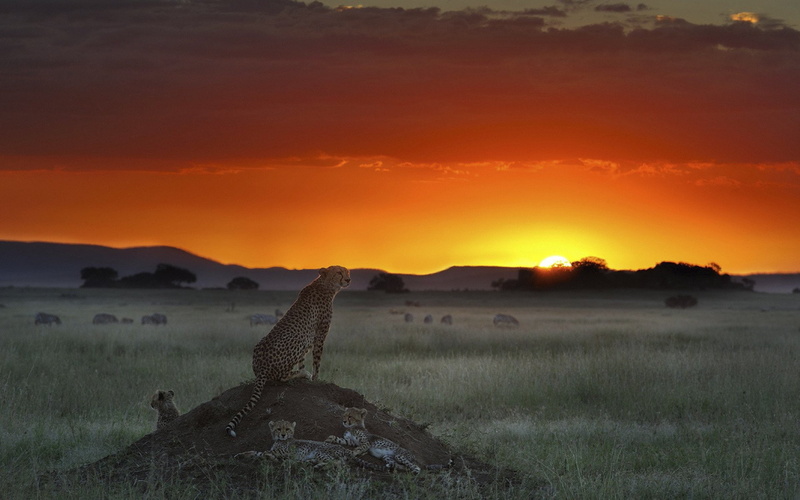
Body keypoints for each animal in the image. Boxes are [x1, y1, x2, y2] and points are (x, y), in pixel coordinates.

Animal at [225, 266, 350, 437]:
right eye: (338, 272)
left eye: (347, 271)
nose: (348, 279)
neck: (325, 285)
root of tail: (261, 368)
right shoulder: (319, 335)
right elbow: (317, 361)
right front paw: (315, 379)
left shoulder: (310, 340)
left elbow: (303, 360)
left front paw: (306, 375)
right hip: (298, 337)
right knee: (281, 377)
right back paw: (301, 374)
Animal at [235, 420, 381, 471]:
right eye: (278, 429)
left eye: (287, 429)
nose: (283, 435)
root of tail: (345, 449)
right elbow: (255, 452)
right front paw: (240, 455)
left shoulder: (286, 452)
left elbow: (267, 453)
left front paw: (271, 458)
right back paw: (308, 463)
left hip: (320, 452)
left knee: (339, 464)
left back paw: (319, 466)